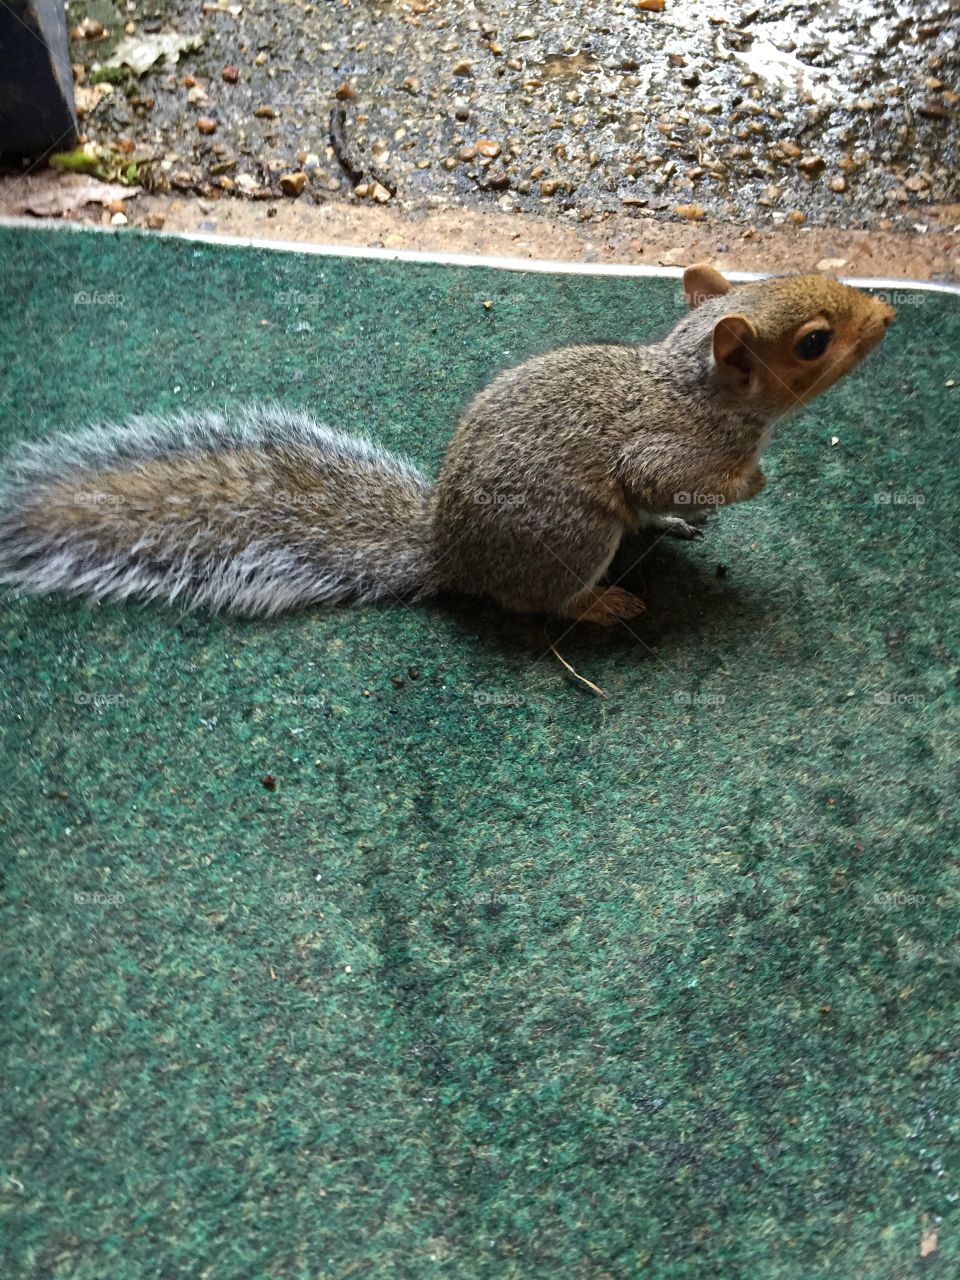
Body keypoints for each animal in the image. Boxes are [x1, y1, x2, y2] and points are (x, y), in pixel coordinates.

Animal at [0, 265, 893, 624]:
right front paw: (754, 481)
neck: (693, 385)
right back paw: (600, 605)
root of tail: (451, 553)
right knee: (543, 601)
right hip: (574, 535)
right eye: (814, 344)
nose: (886, 315)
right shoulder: (666, 447)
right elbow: (670, 475)